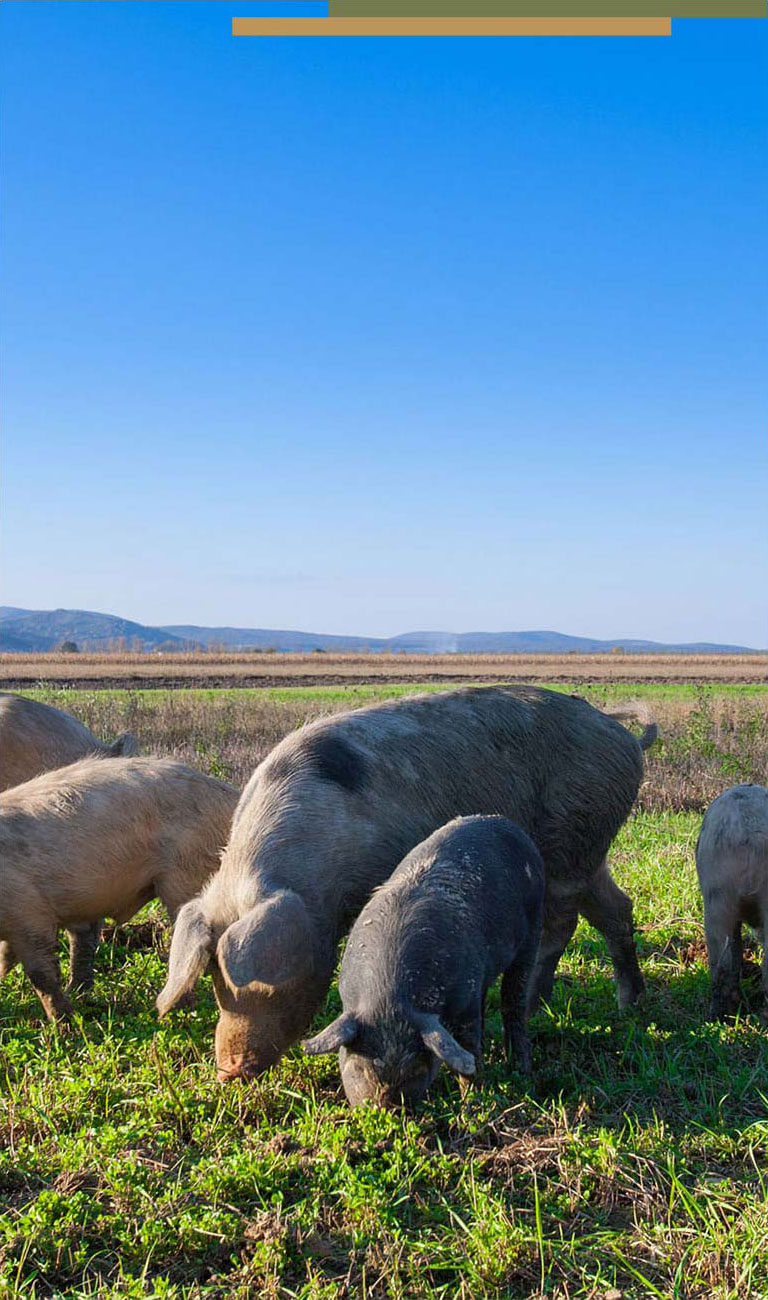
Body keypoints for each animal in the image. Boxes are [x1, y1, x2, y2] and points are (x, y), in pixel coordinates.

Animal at [0, 756, 238, 1022]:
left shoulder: (29, 912)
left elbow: (41, 974)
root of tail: (231, 795)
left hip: (187, 871)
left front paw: (65, 1024)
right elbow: (7, 959)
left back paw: (177, 1012)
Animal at [302, 816, 545, 1108]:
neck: (389, 998)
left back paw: (522, 1070)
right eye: (360, 1067)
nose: (387, 1109)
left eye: (416, 1068)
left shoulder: (464, 998)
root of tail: (507, 824)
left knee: (514, 1002)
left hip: (533, 928)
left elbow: (467, 1047)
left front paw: (473, 1101)